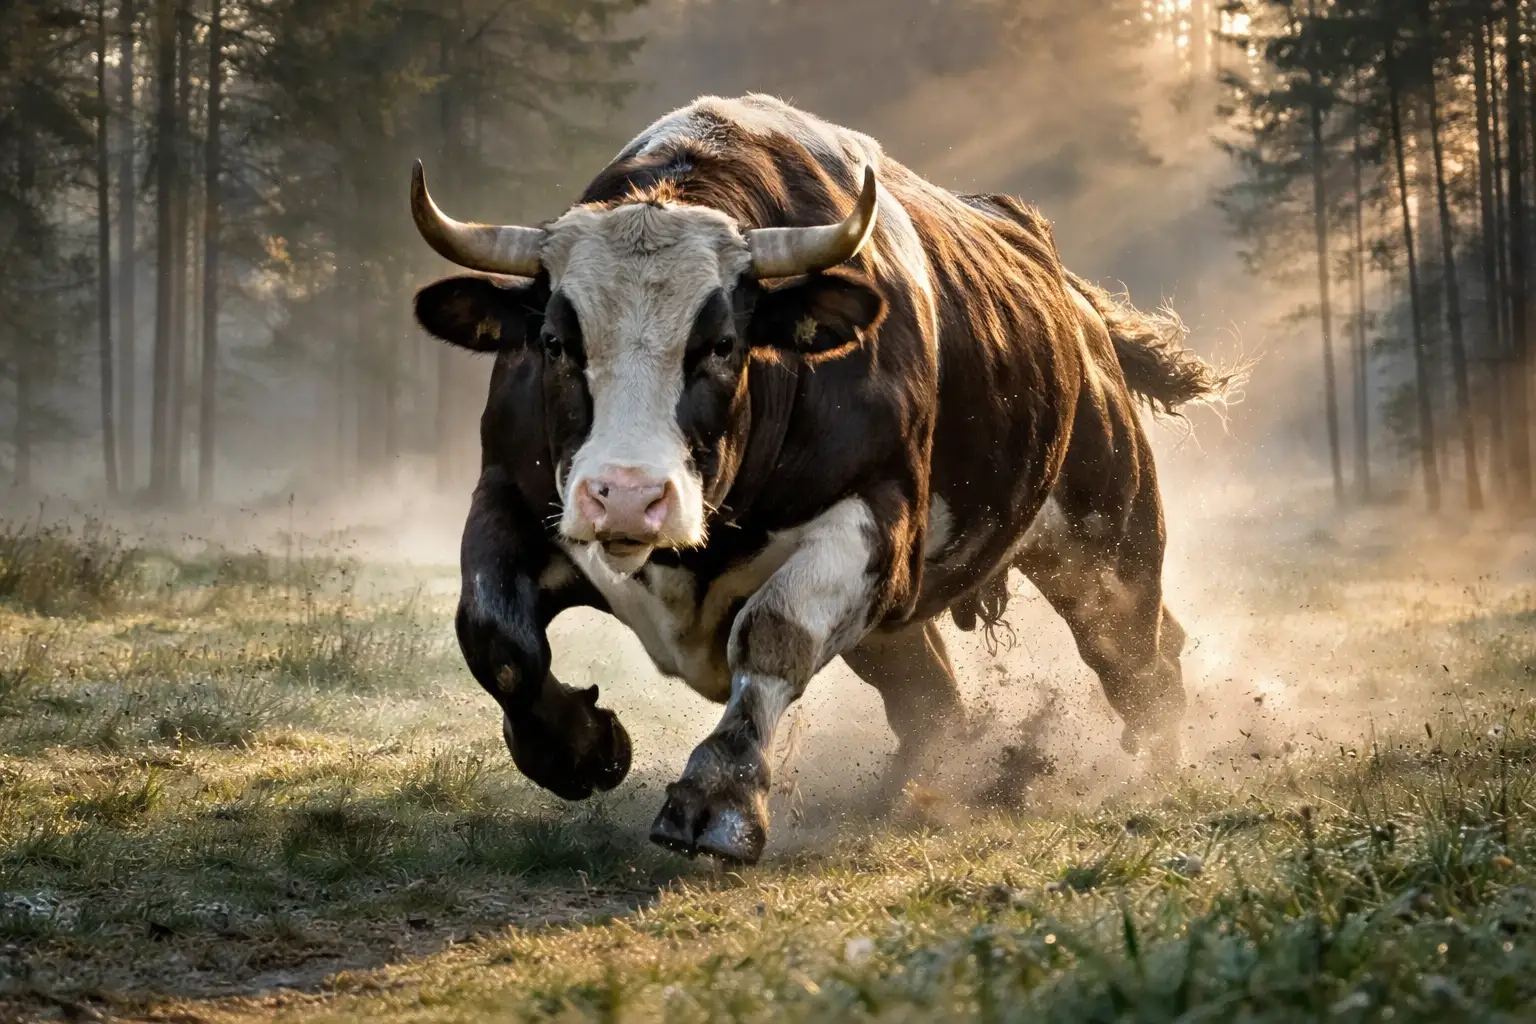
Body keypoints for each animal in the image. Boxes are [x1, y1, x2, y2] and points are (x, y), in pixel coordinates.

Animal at [409, 94, 1234, 865]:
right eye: (555, 341)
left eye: (723, 344)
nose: (629, 497)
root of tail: (1071, 300)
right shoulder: (509, 493)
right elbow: (494, 634)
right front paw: (580, 746)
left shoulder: (874, 519)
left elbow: (775, 633)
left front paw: (718, 798)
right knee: (934, 700)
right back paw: (906, 791)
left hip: (1109, 546)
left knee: (1141, 658)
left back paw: (1154, 770)